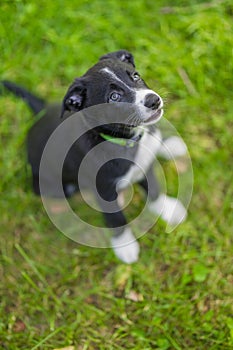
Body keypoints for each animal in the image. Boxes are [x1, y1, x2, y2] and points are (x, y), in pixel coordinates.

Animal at [0, 50, 187, 262]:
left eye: (135, 76)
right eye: (114, 96)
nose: (153, 100)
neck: (125, 140)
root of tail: (40, 112)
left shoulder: (144, 165)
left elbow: (153, 188)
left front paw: (168, 209)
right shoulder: (103, 190)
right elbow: (116, 217)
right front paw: (125, 246)